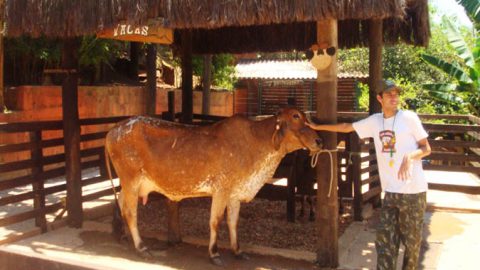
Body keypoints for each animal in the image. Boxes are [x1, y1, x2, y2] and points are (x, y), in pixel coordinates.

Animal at [105, 107, 322, 266]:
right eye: (295, 116)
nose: (319, 140)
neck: (255, 142)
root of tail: (113, 130)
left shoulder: (234, 194)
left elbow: (233, 222)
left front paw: (238, 251)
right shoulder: (221, 190)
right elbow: (215, 221)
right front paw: (214, 254)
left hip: (130, 184)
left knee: (121, 205)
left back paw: (122, 236)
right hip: (131, 180)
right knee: (131, 212)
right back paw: (141, 247)